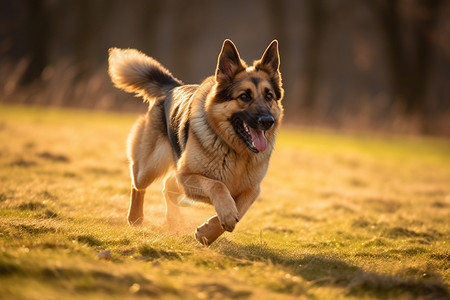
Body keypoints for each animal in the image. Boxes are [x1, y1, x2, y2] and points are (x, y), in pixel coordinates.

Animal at [107, 38, 284, 245]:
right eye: (244, 96)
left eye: (269, 96)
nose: (267, 121)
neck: (235, 151)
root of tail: (173, 87)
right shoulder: (187, 176)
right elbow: (218, 185)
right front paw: (223, 218)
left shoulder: (252, 190)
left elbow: (239, 209)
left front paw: (209, 232)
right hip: (151, 165)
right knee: (138, 184)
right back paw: (135, 217)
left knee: (168, 187)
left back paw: (173, 220)